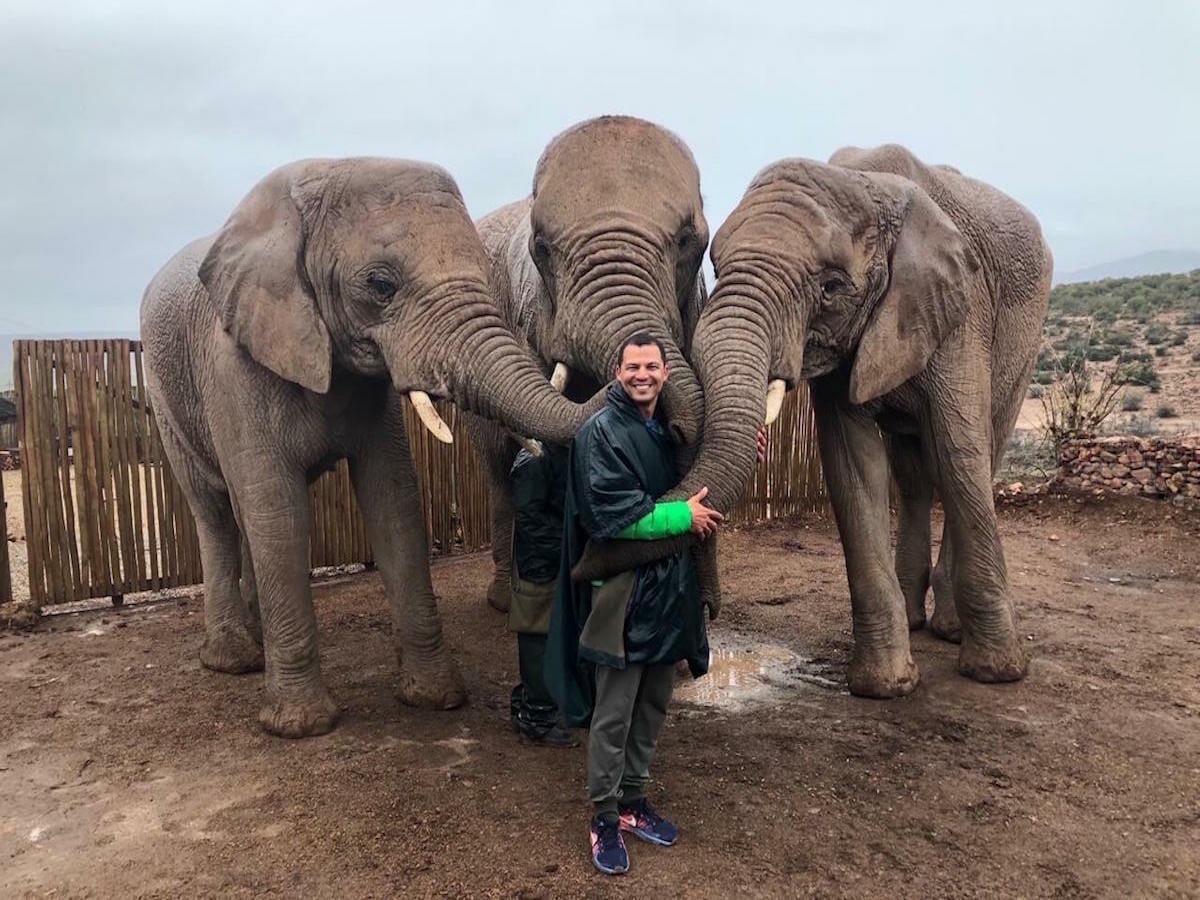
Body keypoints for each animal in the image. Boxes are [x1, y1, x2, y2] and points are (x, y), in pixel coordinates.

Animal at [140, 160, 600, 739]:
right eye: (380, 285)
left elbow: (393, 499)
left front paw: (435, 698)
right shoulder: (235, 367)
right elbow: (279, 512)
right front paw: (301, 727)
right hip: (165, 396)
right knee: (217, 512)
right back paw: (233, 660)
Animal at [576, 144, 1056, 700]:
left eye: (830, 287)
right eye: (713, 263)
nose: (582, 565)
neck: (867, 183)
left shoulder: (959, 313)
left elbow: (959, 451)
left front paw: (997, 673)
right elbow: (853, 466)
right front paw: (883, 687)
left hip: (1024, 336)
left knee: (977, 453)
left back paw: (950, 630)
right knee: (913, 476)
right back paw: (917, 620)